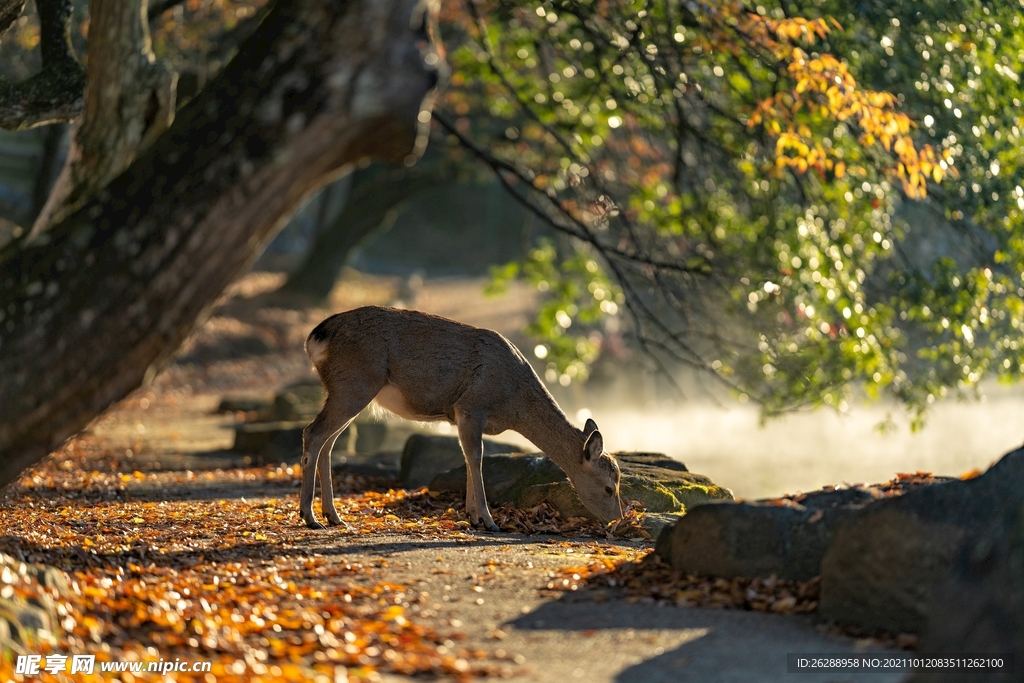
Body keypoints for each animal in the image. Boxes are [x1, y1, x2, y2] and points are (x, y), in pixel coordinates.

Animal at [299, 305, 622, 532]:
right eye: (609, 487)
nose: (617, 519)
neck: (512, 403)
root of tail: (315, 337)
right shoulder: (471, 406)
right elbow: (476, 457)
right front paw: (489, 521)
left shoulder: (458, 415)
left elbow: (467, 457)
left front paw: (473, 516)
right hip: (354, 384)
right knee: (313, 433)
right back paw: (310, 517)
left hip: (347, 389)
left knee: (328, 442)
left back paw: (334, 516)